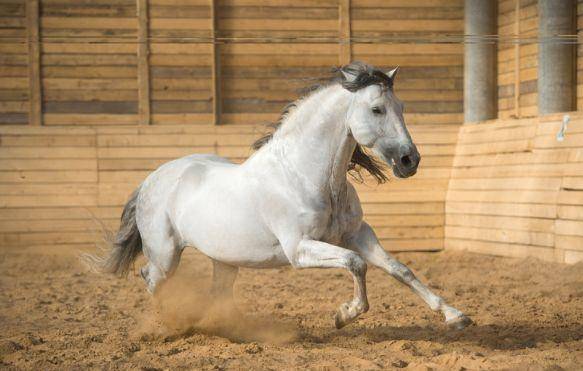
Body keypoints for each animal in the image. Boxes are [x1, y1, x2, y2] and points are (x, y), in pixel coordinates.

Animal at [90, 61, 474, 332]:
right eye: (377, 109)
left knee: (215, 293)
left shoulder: (357, 235)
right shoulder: (299, 249)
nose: (411, 160)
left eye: (402, 107)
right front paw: (344, 315)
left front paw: (456, 316)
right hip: (166, 254)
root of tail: (151, 180)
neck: (304, 176)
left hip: (225, 260)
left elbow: (399, 269)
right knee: (151, 279)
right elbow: (356, 264)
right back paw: (165, 326)